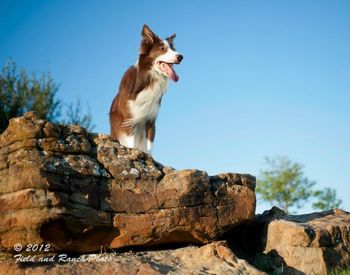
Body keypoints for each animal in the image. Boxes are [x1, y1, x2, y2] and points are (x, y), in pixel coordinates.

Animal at [109, 24, 183, 155]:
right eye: (162, 48)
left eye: (173, 49)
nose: (181, 57)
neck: (149, 81)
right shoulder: (129, 120)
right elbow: (131, 145)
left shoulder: (151, 121)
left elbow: (149, 147)